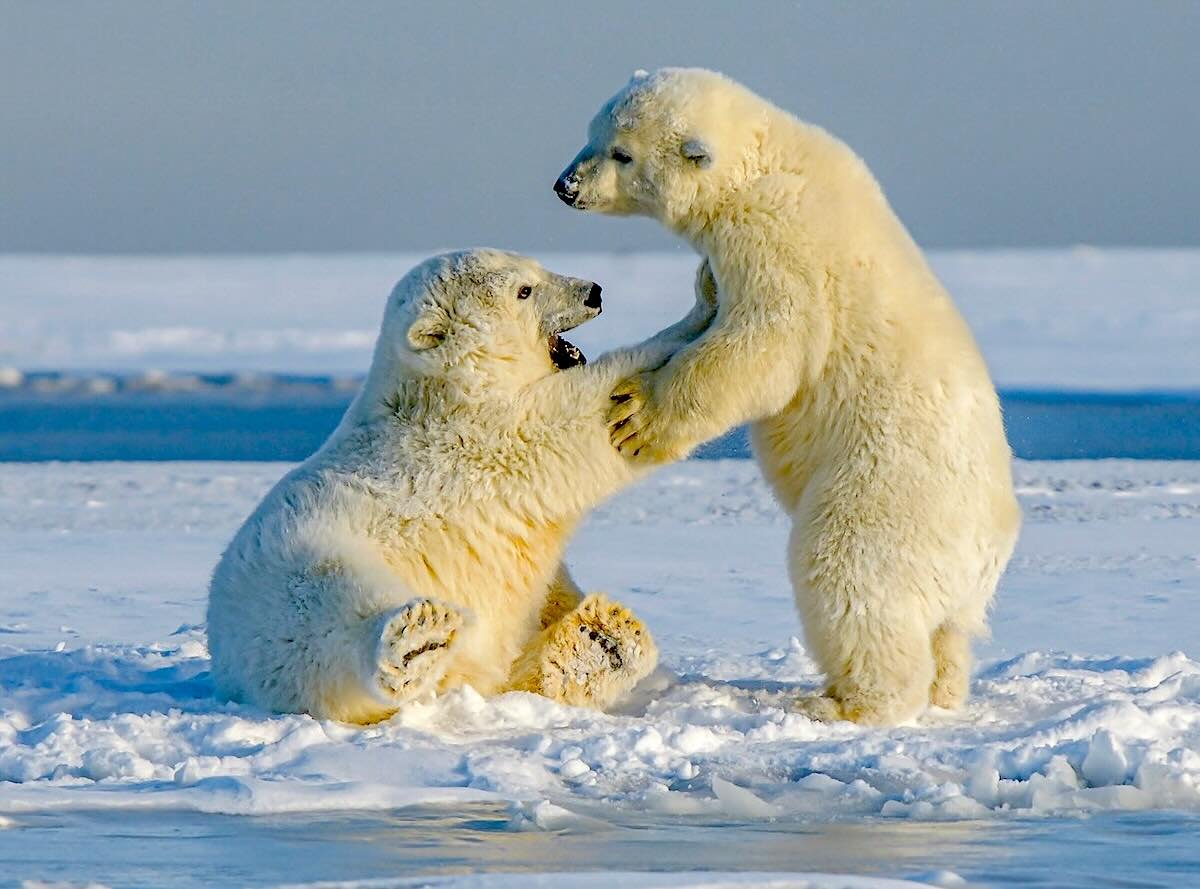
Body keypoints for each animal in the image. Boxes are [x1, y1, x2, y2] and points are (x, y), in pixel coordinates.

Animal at [206, 248, 718, 723]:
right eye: (524, 290)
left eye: (538, 267)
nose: (593, 291)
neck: (440, 390)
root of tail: (226, 658)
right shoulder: (481, 437)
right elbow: (579, 418)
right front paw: (701, 311)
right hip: (300, 566)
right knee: (333, 609)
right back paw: (418, 640)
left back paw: (603, 637)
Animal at [554, 68, 1021, 726]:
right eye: (592, 133)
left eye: (622, 153)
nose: (565, 186)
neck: (767, 158)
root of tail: (988, 550)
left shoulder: (778, 240)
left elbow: (765, 342)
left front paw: (637, 417)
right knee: (947, 632)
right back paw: (943, 690)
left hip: (886, 494)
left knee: (848, 575)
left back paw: (843, 703)